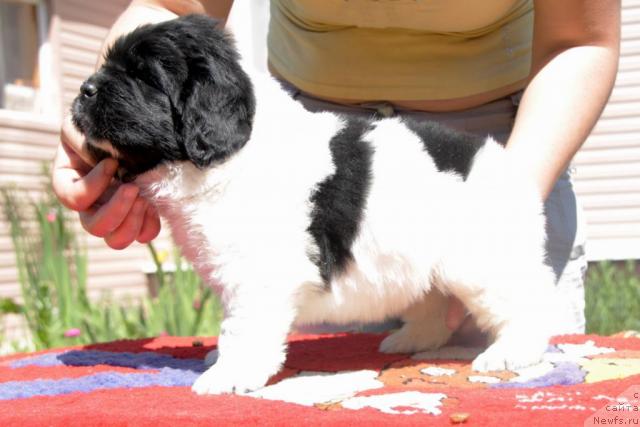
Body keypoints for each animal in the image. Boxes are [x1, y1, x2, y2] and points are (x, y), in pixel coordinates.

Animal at [72, 15, 564, 396]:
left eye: (145, 76)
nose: (84, 90)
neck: (232, 152)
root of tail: (499, 160)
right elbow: (234, 323)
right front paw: (220, 359)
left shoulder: (259, 274)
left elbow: (244, 327)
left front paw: (228, 375)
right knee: (434, 301)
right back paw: (411, 340)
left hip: (483, 261)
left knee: (528, 301)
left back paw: (510, 353)